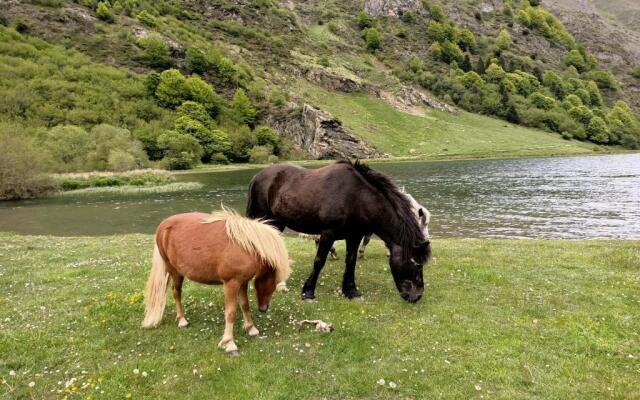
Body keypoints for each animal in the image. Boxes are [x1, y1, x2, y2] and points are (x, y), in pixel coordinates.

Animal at [142, 208, 290, 354]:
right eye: (272, 281)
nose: (264, 308)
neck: (246, 246)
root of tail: (163, 225)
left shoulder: (242, 282)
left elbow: (245, 305)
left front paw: (251, 329)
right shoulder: (231, 283)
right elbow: (230, 312)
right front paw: (229, 343)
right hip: (174, 271)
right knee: (176, 293)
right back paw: (182, 321)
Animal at [245, 159, 430, 304]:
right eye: (416, 264)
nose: (417, 296)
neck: (356, 197)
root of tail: (257, 176)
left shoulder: (354, 237)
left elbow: (351, 262)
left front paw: (351, 291)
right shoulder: (328, 234)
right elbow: (319, 261)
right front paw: (308, 292)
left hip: (278, 223)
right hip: (265, 219)